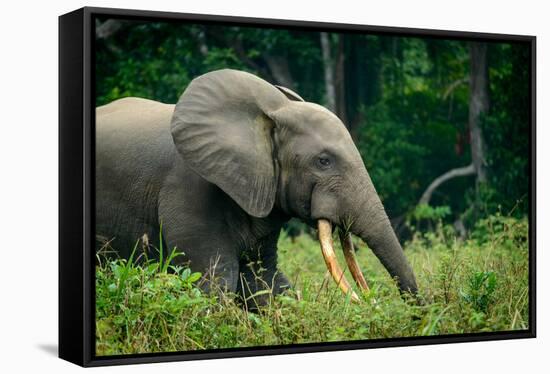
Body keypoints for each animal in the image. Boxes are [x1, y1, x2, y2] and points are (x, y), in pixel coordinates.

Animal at [97, 68, 420, 306]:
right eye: (323, 161)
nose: (372, 300)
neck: (272, 113)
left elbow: (263, 280)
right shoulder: (188, 189)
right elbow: (216, 282)